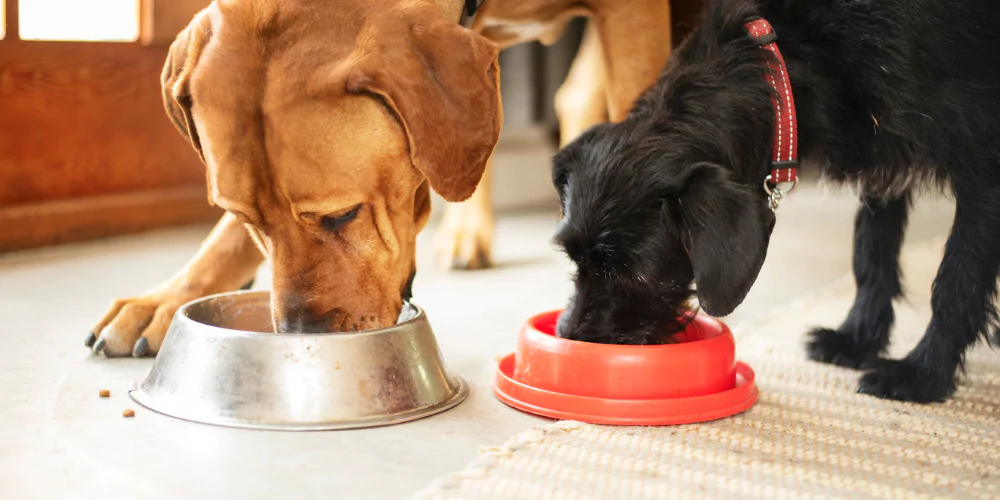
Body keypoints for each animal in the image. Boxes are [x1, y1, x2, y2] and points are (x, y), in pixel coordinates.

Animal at [552, 0, 1000, 402]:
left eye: (634, 274)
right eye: (574, 260)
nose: (571, 337)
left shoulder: (982, 165)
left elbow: (955, 282)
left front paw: (922, 374)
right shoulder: (882, 153)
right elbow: (872, 251)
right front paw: (857, 339)